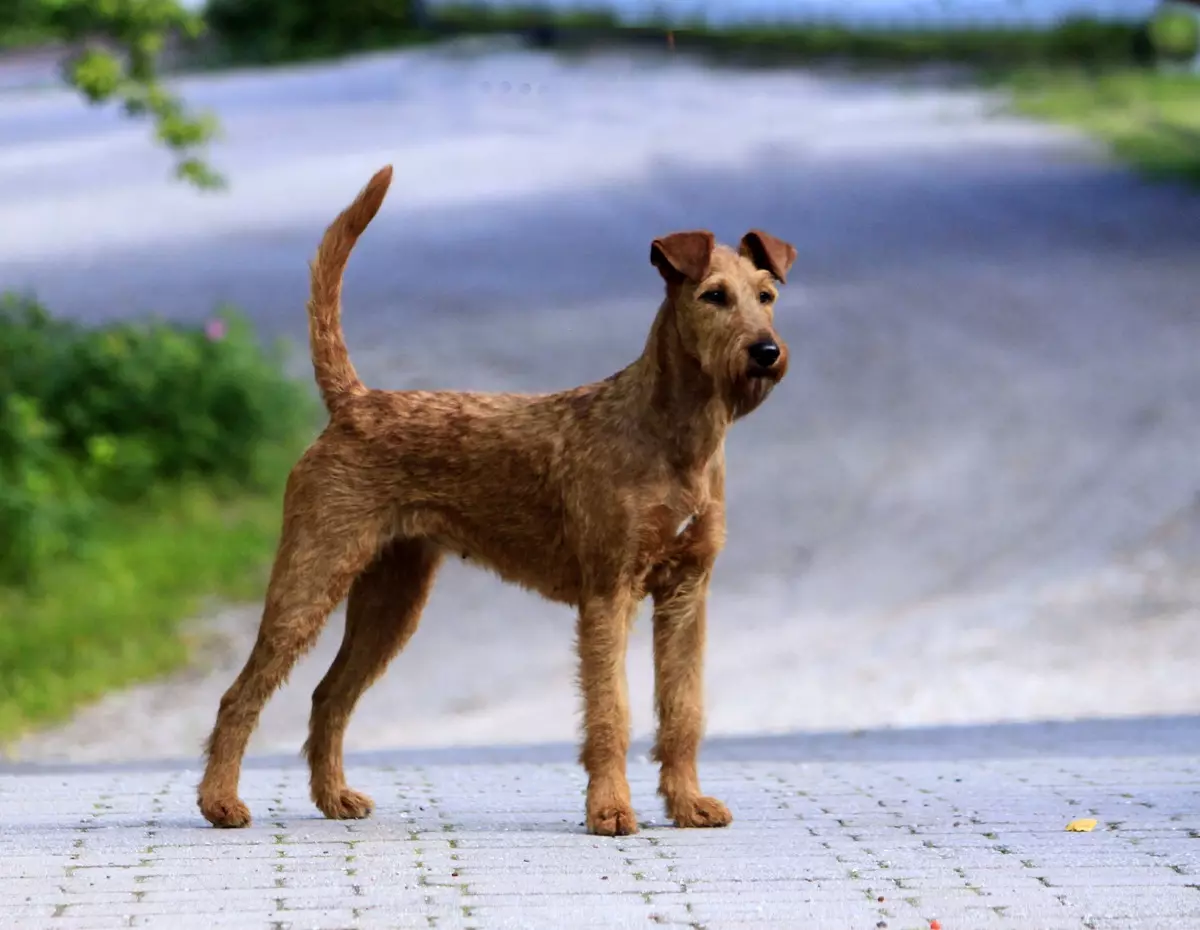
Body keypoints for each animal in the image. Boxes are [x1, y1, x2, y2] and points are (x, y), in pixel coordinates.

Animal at [196, 165, 796, 835]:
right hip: (311, 577)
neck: (674, 436)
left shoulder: (687, 591)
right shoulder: (608, 591)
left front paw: (689, 804)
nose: (766, 352)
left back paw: (335, 798)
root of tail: (354, 402)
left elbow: (683, 707)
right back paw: (220, 803)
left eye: (766, 295)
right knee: (241, 693)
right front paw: (610, 810)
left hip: (392, 597)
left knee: (329, 694)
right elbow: (610, 711)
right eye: (713, 296)